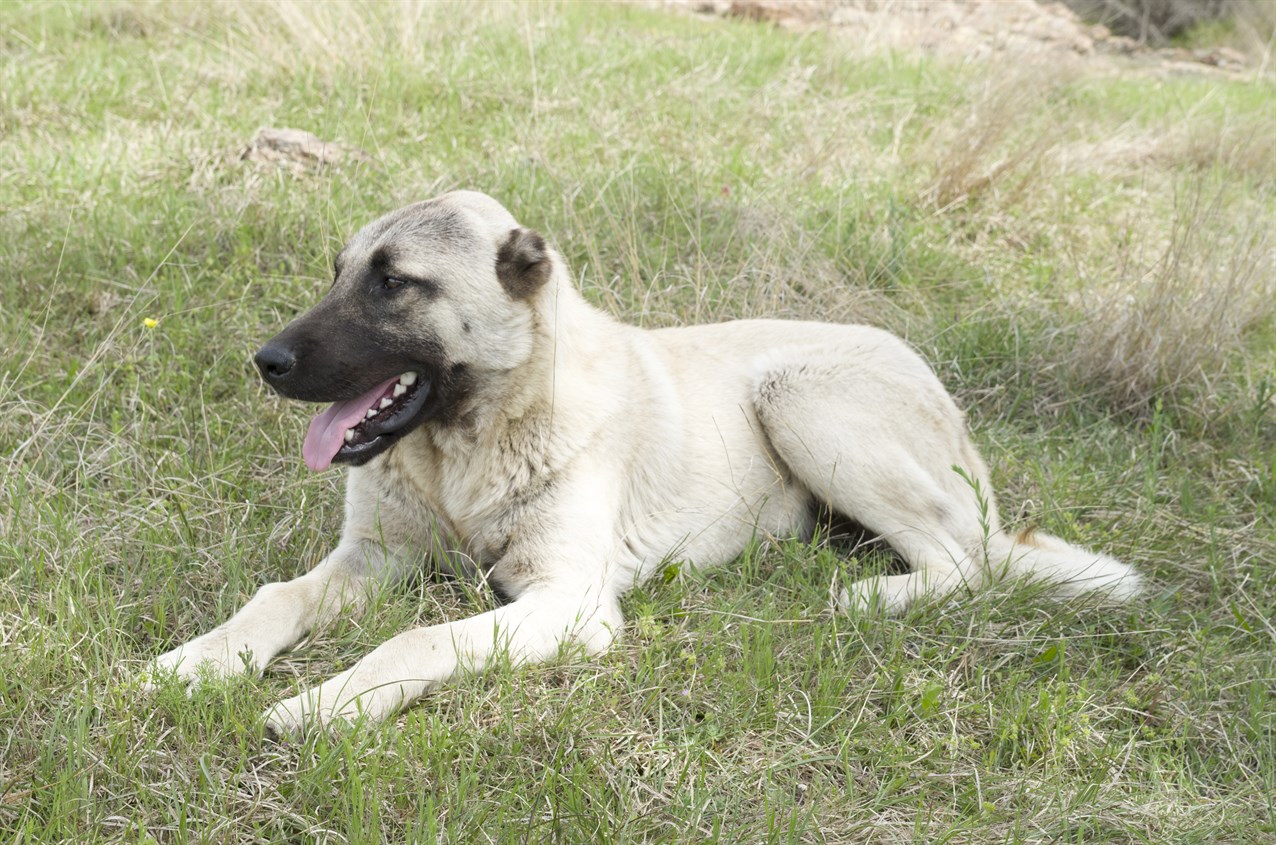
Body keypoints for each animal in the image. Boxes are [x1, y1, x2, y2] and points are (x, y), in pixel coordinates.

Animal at [144, 190, 1143, 735]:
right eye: (339, 271)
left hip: (800, 399)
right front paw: (197, 660)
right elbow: (274, 598)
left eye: (394, 283)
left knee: (966, 563)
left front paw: (326, 704)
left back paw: (867, 595)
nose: (265, 361)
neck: (470, 444)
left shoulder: (568, 604)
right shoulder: (370, 558)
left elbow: (417, 636)